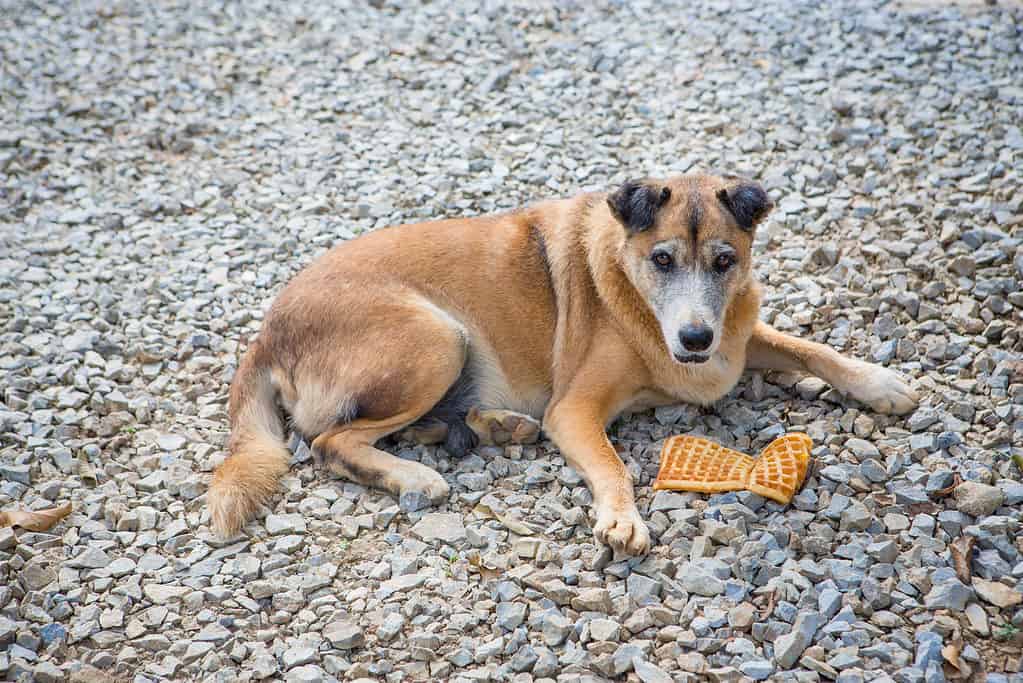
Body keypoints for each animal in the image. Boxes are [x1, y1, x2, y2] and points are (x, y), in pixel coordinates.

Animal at [207, 171, 920, 556]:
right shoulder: (575, 409)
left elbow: (807, 346)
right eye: (662, 260)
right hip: (436, 337)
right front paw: (622, 518)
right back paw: (415, 476)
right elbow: (612, 464)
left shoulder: (737, 338)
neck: (635, 298)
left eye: (725, 261)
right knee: (332, 441)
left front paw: (879, 383)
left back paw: (494, 426)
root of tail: (266, 333)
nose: (694, 339)